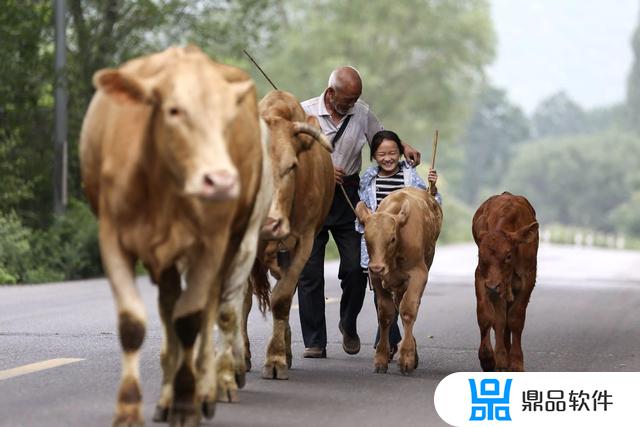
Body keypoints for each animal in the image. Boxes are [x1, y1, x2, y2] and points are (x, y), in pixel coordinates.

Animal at [79, 45, 272, 426]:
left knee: (212, 309)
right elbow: (133, 324)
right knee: (170, 306)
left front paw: (187, 402)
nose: (221, 181)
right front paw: (130, 410)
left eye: (228, 119)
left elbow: (191, 321)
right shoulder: (112, 240)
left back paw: (207, 389)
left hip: (233, 244)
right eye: (173, 110)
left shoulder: (212, 244)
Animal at [358, 187, 442, 374]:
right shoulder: (376, 279)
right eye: (366, 238)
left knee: (409, 305)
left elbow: (408, 310)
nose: (377, 267)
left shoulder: (418, 274)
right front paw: (381, 358)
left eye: (392, 239)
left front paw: (407, 358)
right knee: (398, 303)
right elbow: (385, 314)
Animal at [472, 192, 536, 372]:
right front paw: (490, 359)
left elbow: (515, 319)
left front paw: (516, 362)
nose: (493, 287)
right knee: (500, 320)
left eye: (508, 256)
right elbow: (489, 317)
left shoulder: (528, 279)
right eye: (480, 255)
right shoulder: (482, 277)